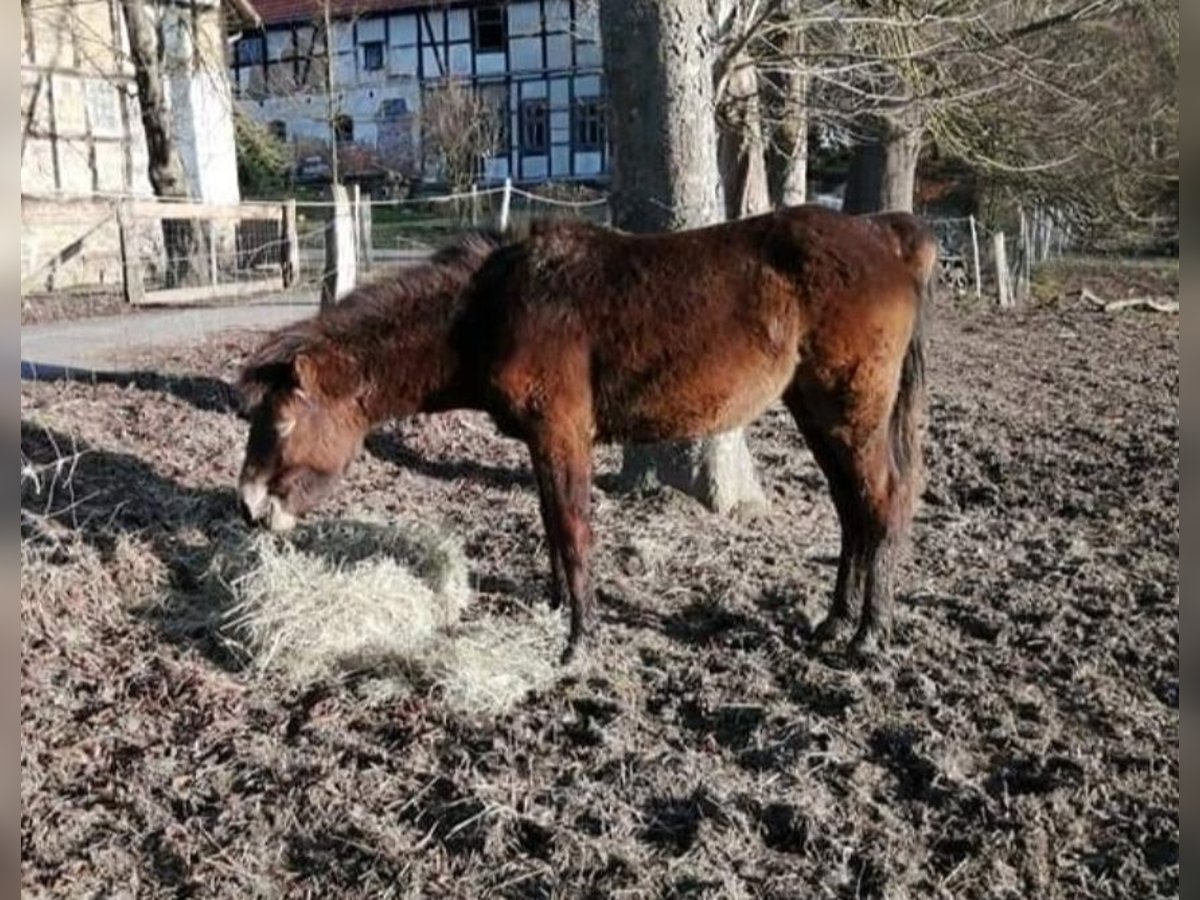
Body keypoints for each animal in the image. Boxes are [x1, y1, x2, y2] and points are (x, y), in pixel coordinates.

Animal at [238, 207, 936, 667]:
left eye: (280, 422)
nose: (248, 506)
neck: (495, 306)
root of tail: (887, 235)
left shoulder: (562, 435)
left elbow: (573, 533)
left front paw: (580, 643)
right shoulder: (540, 443)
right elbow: (552, 529)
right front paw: (558, 613)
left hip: (851, 414)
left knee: (884, 502)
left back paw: (869, 634)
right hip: (817, 414)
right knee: (852, 511)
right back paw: (835, 620)